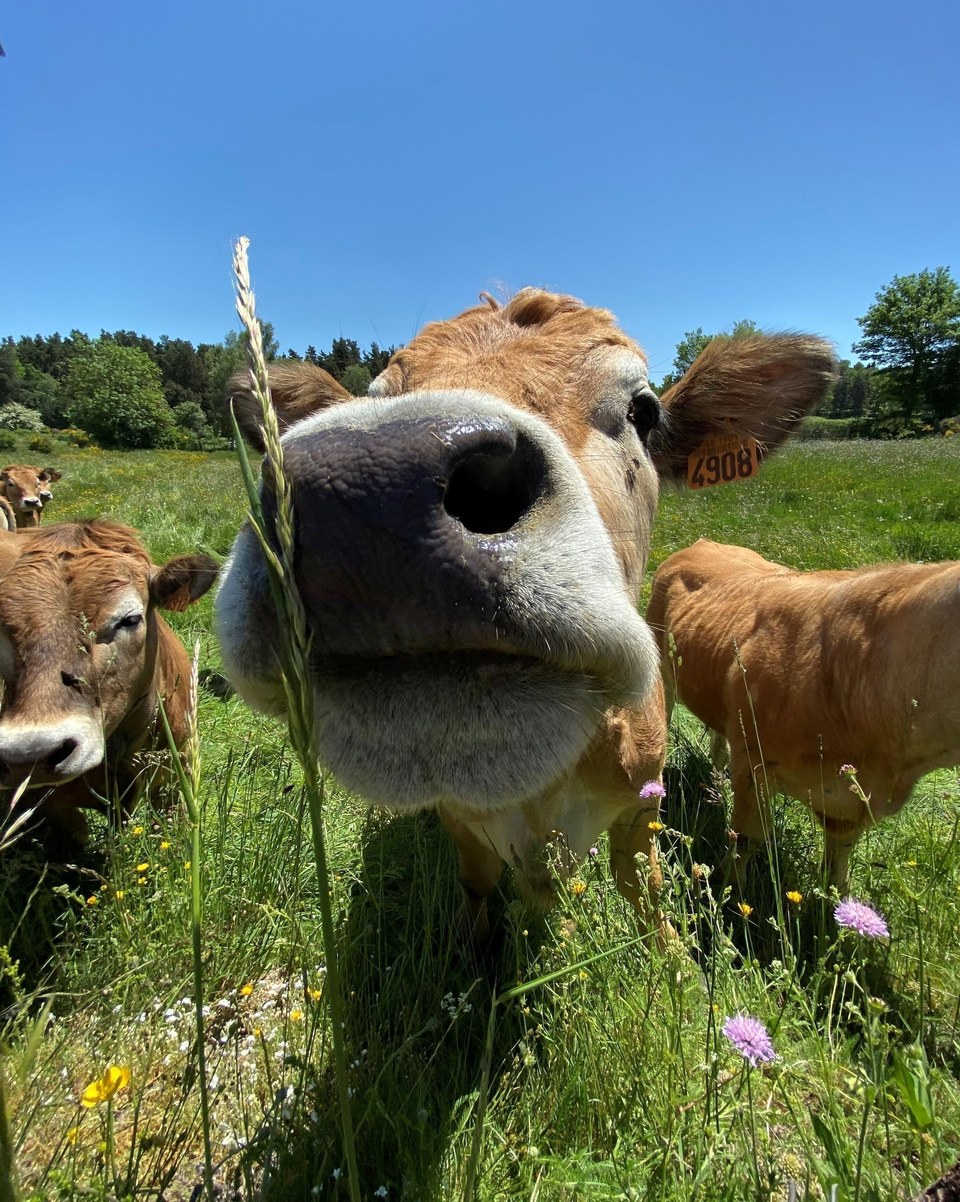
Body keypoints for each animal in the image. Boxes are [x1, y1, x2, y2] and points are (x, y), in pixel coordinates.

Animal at [215, 288, 835, 938]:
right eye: (375, 394)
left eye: (643, 410)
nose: (368, 491)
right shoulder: (460, 818)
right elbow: (477, 883)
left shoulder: (643, 803)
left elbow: (643, 888)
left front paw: (671, 951)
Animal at [647, 537, 960, 891]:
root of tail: (703, 542)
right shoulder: (753, 764)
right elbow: (746, 839)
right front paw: (733, 890)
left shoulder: (849, 803)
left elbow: (837, 869)